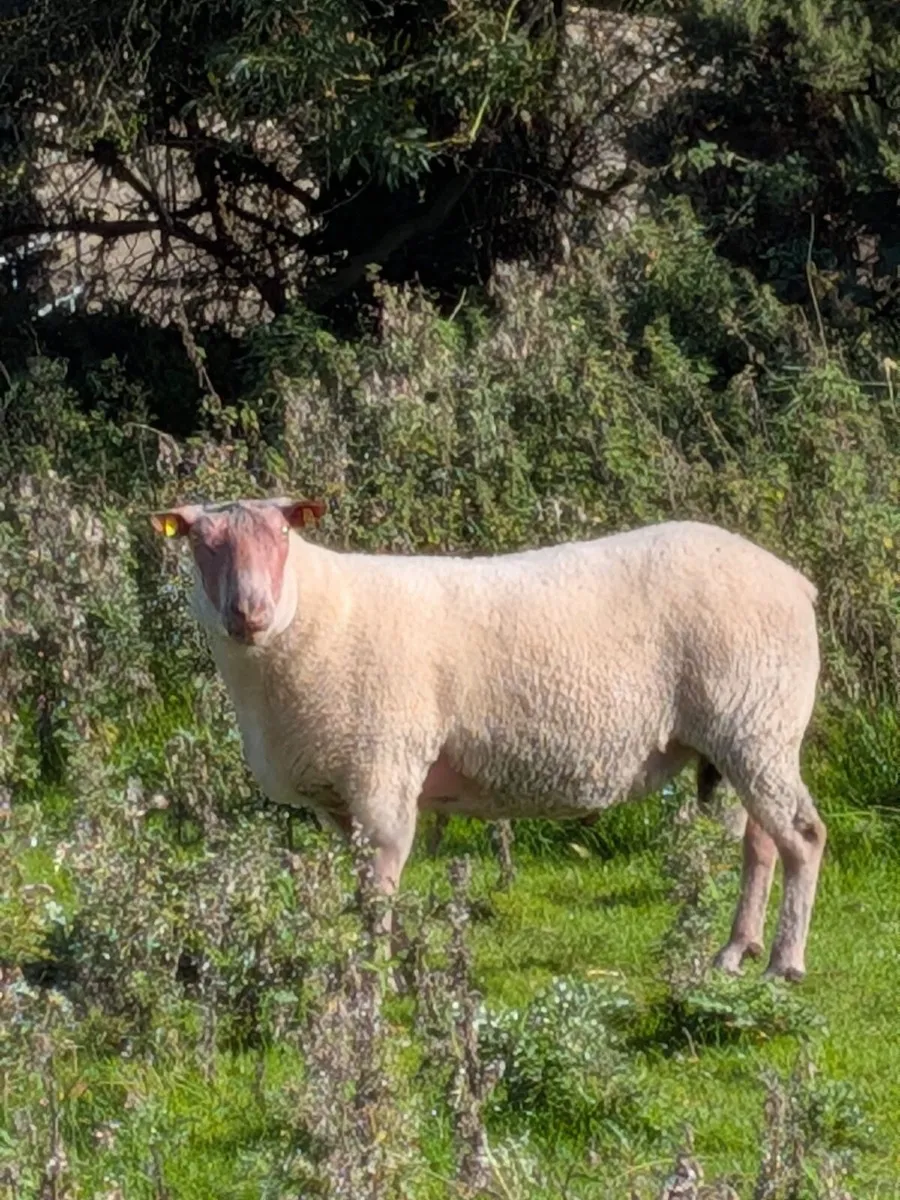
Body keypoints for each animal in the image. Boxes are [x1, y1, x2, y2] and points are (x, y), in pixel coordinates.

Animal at [151, 497, 826, 982]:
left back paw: (784, 964)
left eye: (282, 537)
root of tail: (797, 582)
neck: (317, 614)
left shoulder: (382, 768)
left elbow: (380, 889)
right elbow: (362, 890)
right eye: (202, 546)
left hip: (755, 719)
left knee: (803, 837)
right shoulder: (340, 795)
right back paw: (736, 951)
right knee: (761, 842)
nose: (248, 613)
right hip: (748, 730)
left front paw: (375, 980)